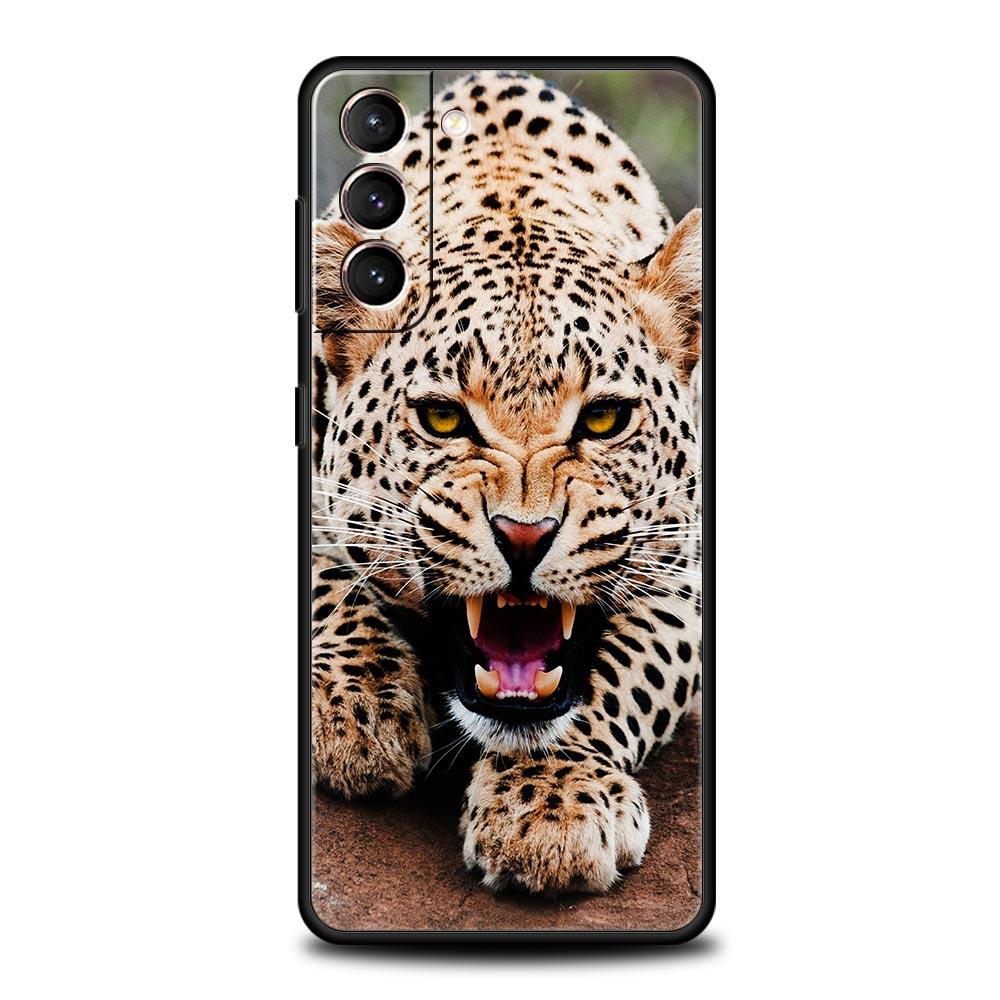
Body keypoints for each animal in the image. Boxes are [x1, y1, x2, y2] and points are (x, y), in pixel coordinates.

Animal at [310, 70, 703, 895]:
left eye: (605, 419)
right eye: (443, 419)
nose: (525, 537)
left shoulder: (684, 568)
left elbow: (616, 674)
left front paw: (551, 806)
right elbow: (322, 579)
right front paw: (359, 708)